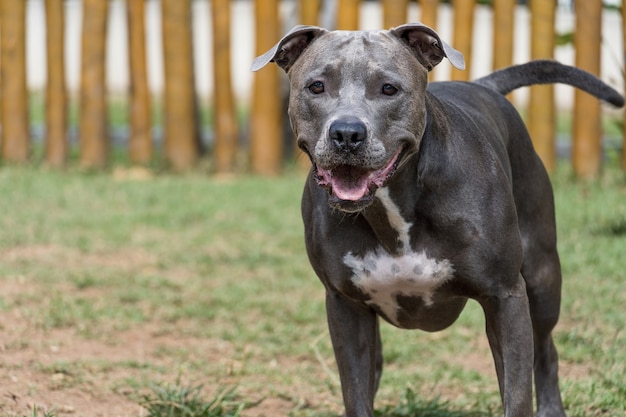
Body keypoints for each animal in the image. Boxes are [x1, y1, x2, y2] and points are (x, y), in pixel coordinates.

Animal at [251, 23, 620, 416]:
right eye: (317, 86)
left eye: (389, 88)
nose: (347, 133)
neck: (394, 206)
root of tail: (484, 86)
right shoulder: (345, 306)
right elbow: (356, 392)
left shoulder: (505, 297)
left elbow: (517, 392)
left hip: (542, 278)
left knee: (546, 350)